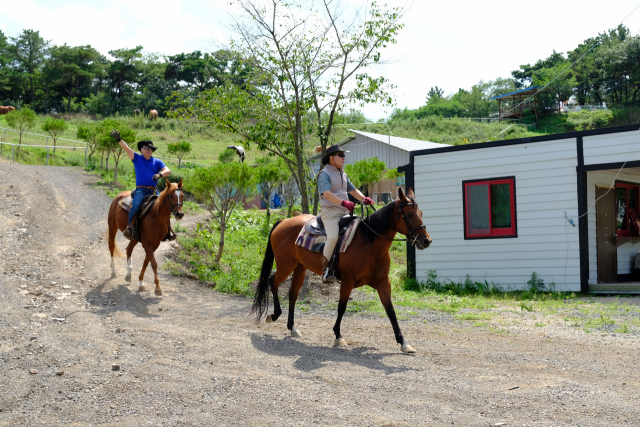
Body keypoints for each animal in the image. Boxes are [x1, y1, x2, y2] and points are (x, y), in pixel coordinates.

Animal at [252, 190, 432, 354]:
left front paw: (403, 342)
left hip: (299, 268)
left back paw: (292, 327)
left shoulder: (383, 283)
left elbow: (391, 311)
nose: (426, 241)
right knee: (272, 282)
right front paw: (338, 336)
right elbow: (342, 308)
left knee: (292, 294)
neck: (369, 241)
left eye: (421, 213)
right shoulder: (347, 281)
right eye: (409, 214)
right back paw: (274, 315)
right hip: (285, 266)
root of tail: (284, 221)